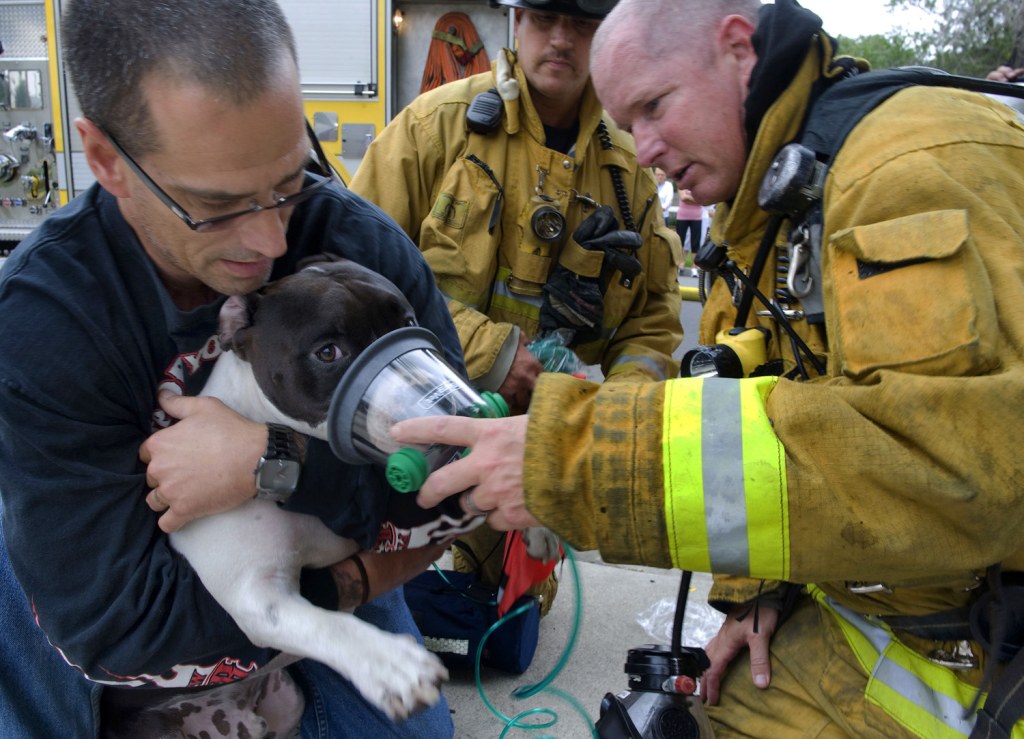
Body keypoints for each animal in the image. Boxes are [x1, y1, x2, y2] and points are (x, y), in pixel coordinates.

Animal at [169, 254, 454, 720]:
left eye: (409, 321)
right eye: (328, 352)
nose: (435, 396)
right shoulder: (256, 591)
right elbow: (328, 623)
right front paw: (390, 664)